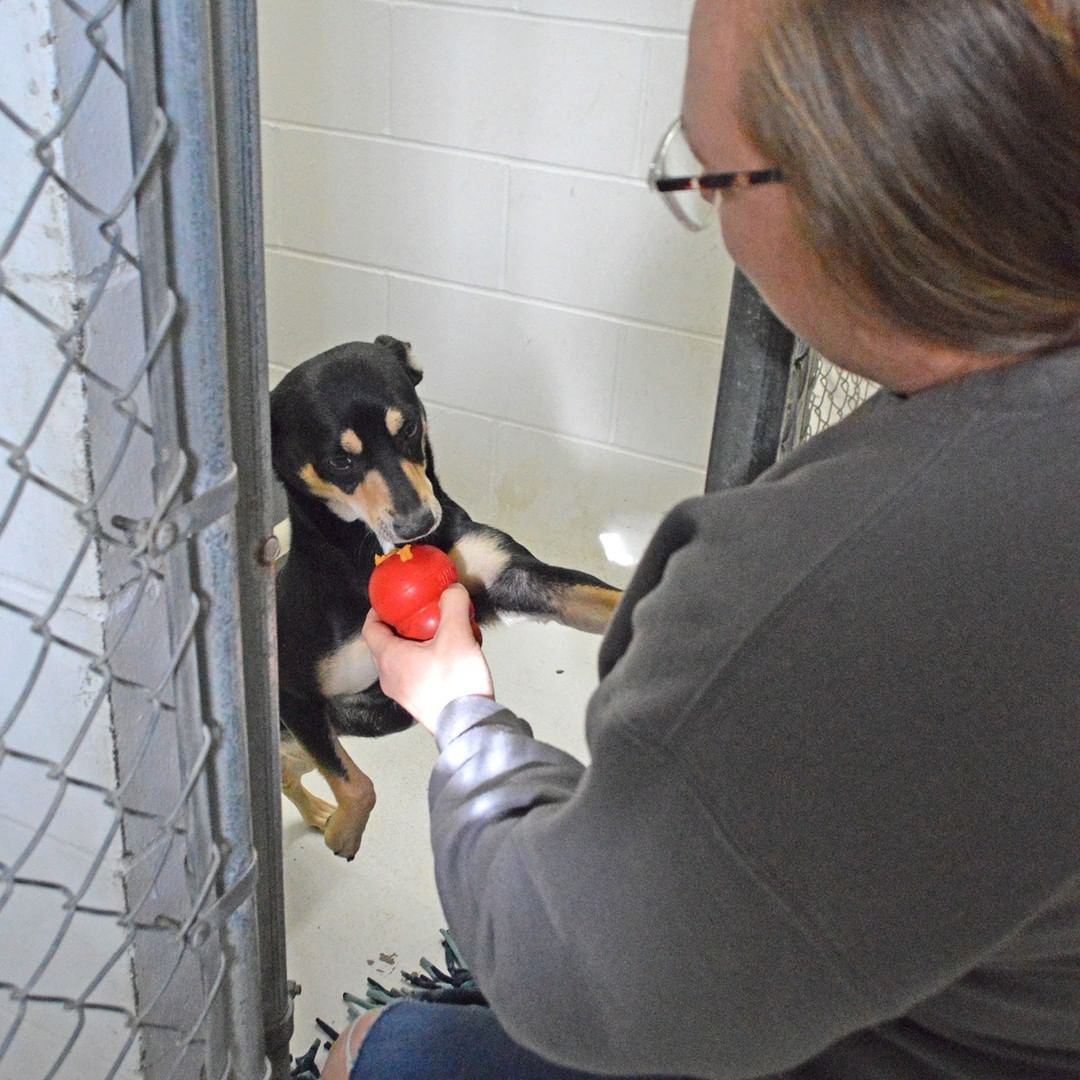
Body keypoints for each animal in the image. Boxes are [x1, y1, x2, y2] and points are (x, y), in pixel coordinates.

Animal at [272, 336, 626, 859]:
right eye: (340, 461)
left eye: (408, 427)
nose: (420, 524)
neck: (369, 553)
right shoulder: (297, 695)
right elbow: (358, 785)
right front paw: (345, 832)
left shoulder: (512, 577)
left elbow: (603, 599)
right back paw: (323, 815)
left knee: (288, 770)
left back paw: (317, 811)